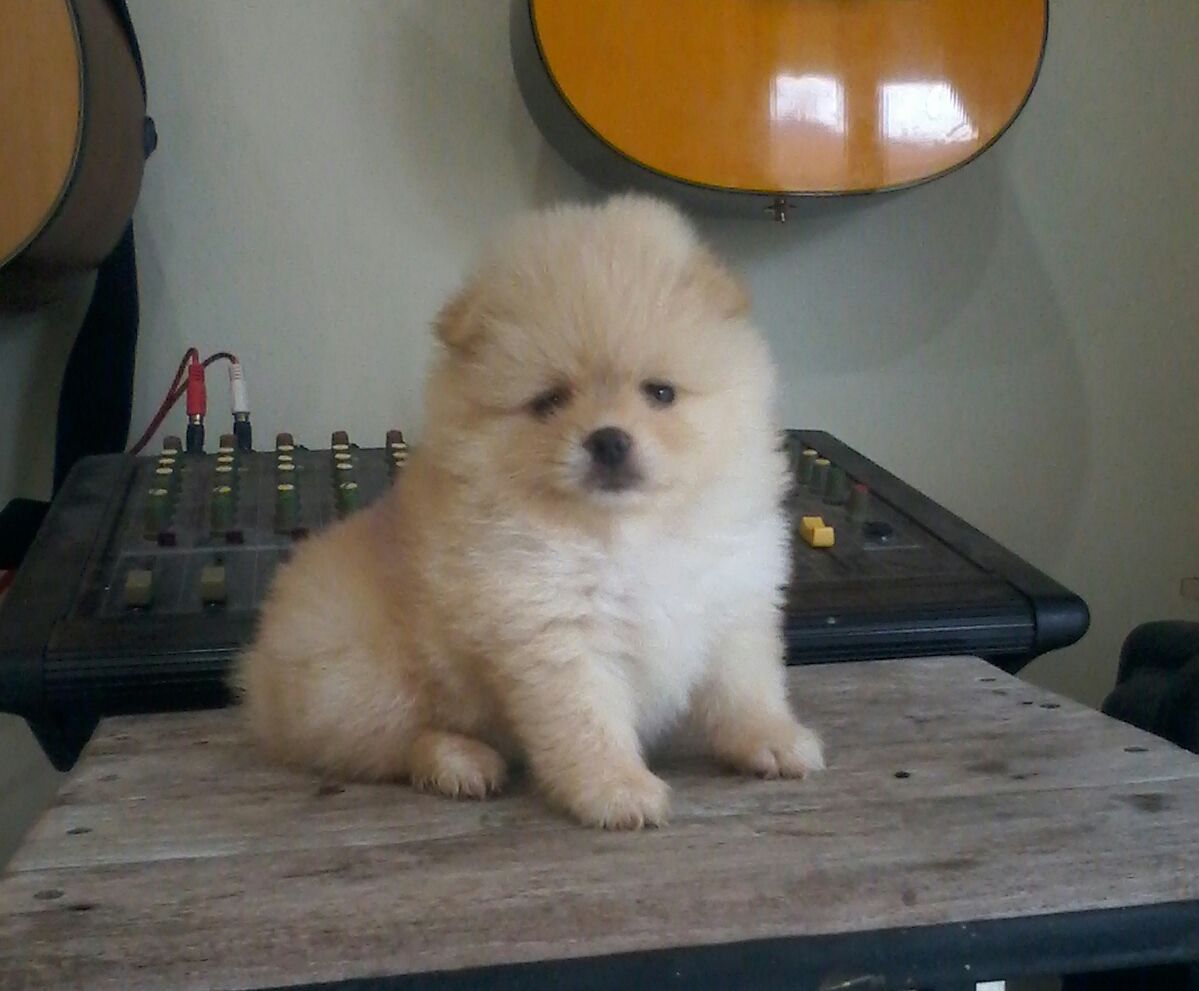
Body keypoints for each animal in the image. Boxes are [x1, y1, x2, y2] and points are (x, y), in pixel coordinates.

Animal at [231, 193, 824, 829]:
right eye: (549, 402)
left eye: (661, 392)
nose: (608, 440)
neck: (626, 534)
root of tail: (258, 672)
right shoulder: (555, 634)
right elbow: (588, 724)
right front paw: (617, 789)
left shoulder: (731, 605)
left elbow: (747, 690)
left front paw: (774, 740)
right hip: (361, 681)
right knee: (394, 743)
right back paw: (460, 760)